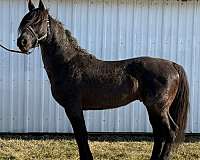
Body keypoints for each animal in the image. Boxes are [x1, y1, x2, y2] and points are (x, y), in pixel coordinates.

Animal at [16, 0, 189, 159]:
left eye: (38, 21)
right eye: (25, 21)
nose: (22, 42)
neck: (67, 63)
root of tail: (172, 65)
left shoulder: (73, 107)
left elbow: (81, 135)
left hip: (158, 108)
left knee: (170, 132)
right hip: (154, 108)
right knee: (159, 133)